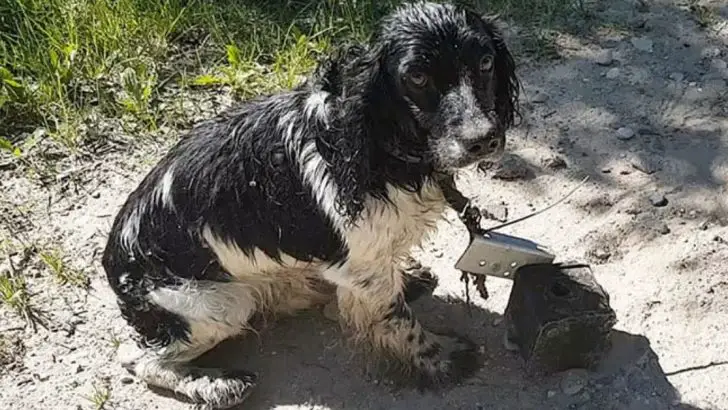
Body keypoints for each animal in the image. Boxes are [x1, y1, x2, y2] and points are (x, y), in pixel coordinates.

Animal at [104, 1, 516, 408]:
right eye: (416, 77)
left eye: (485, 62)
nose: (483, 139)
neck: (379, 143)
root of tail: (112, 260)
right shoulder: (364, 265)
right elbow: (398, 319)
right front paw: (439, 357)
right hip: (218, 304)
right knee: (137, 357)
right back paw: (216, 385)